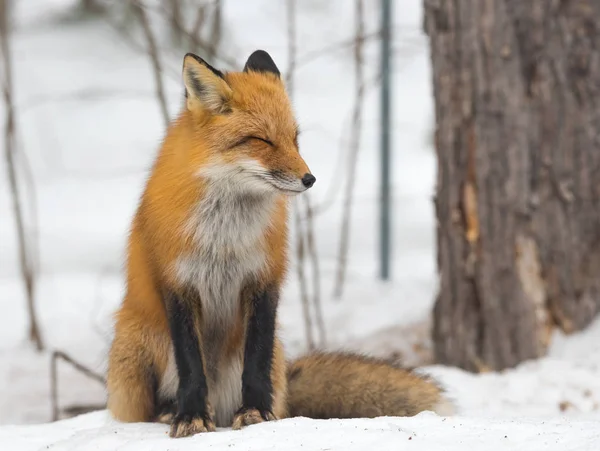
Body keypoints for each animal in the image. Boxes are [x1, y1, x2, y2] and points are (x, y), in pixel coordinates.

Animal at [108, 50, 452, 442]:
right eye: (262, 140)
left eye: (294, 139)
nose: (309, 179)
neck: (225, 237)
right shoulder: (177, 283)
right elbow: (190, 364)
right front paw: (191, 417)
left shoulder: (263, 278)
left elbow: (256, 359)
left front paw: (257, 413)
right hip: (136, 352)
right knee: (144, 408)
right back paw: (168, 411)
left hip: (269, 356)